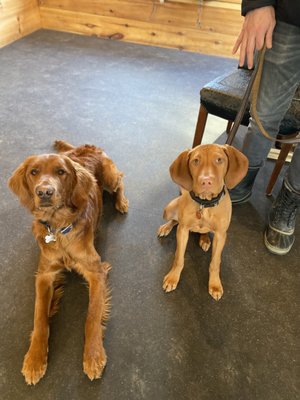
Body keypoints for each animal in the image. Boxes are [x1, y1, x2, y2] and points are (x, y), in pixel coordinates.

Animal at [8, 140, 128, 384]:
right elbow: (39, 317)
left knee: (120, 180)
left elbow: (92, 316)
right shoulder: (44, 274)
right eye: (34, 172)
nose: (44, 192)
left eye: (61, 172)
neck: (58, 226)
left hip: (110, 177)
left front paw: (93, 355)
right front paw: (34, 359)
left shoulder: (96, 271)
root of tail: (87, 145)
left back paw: (121, 202)